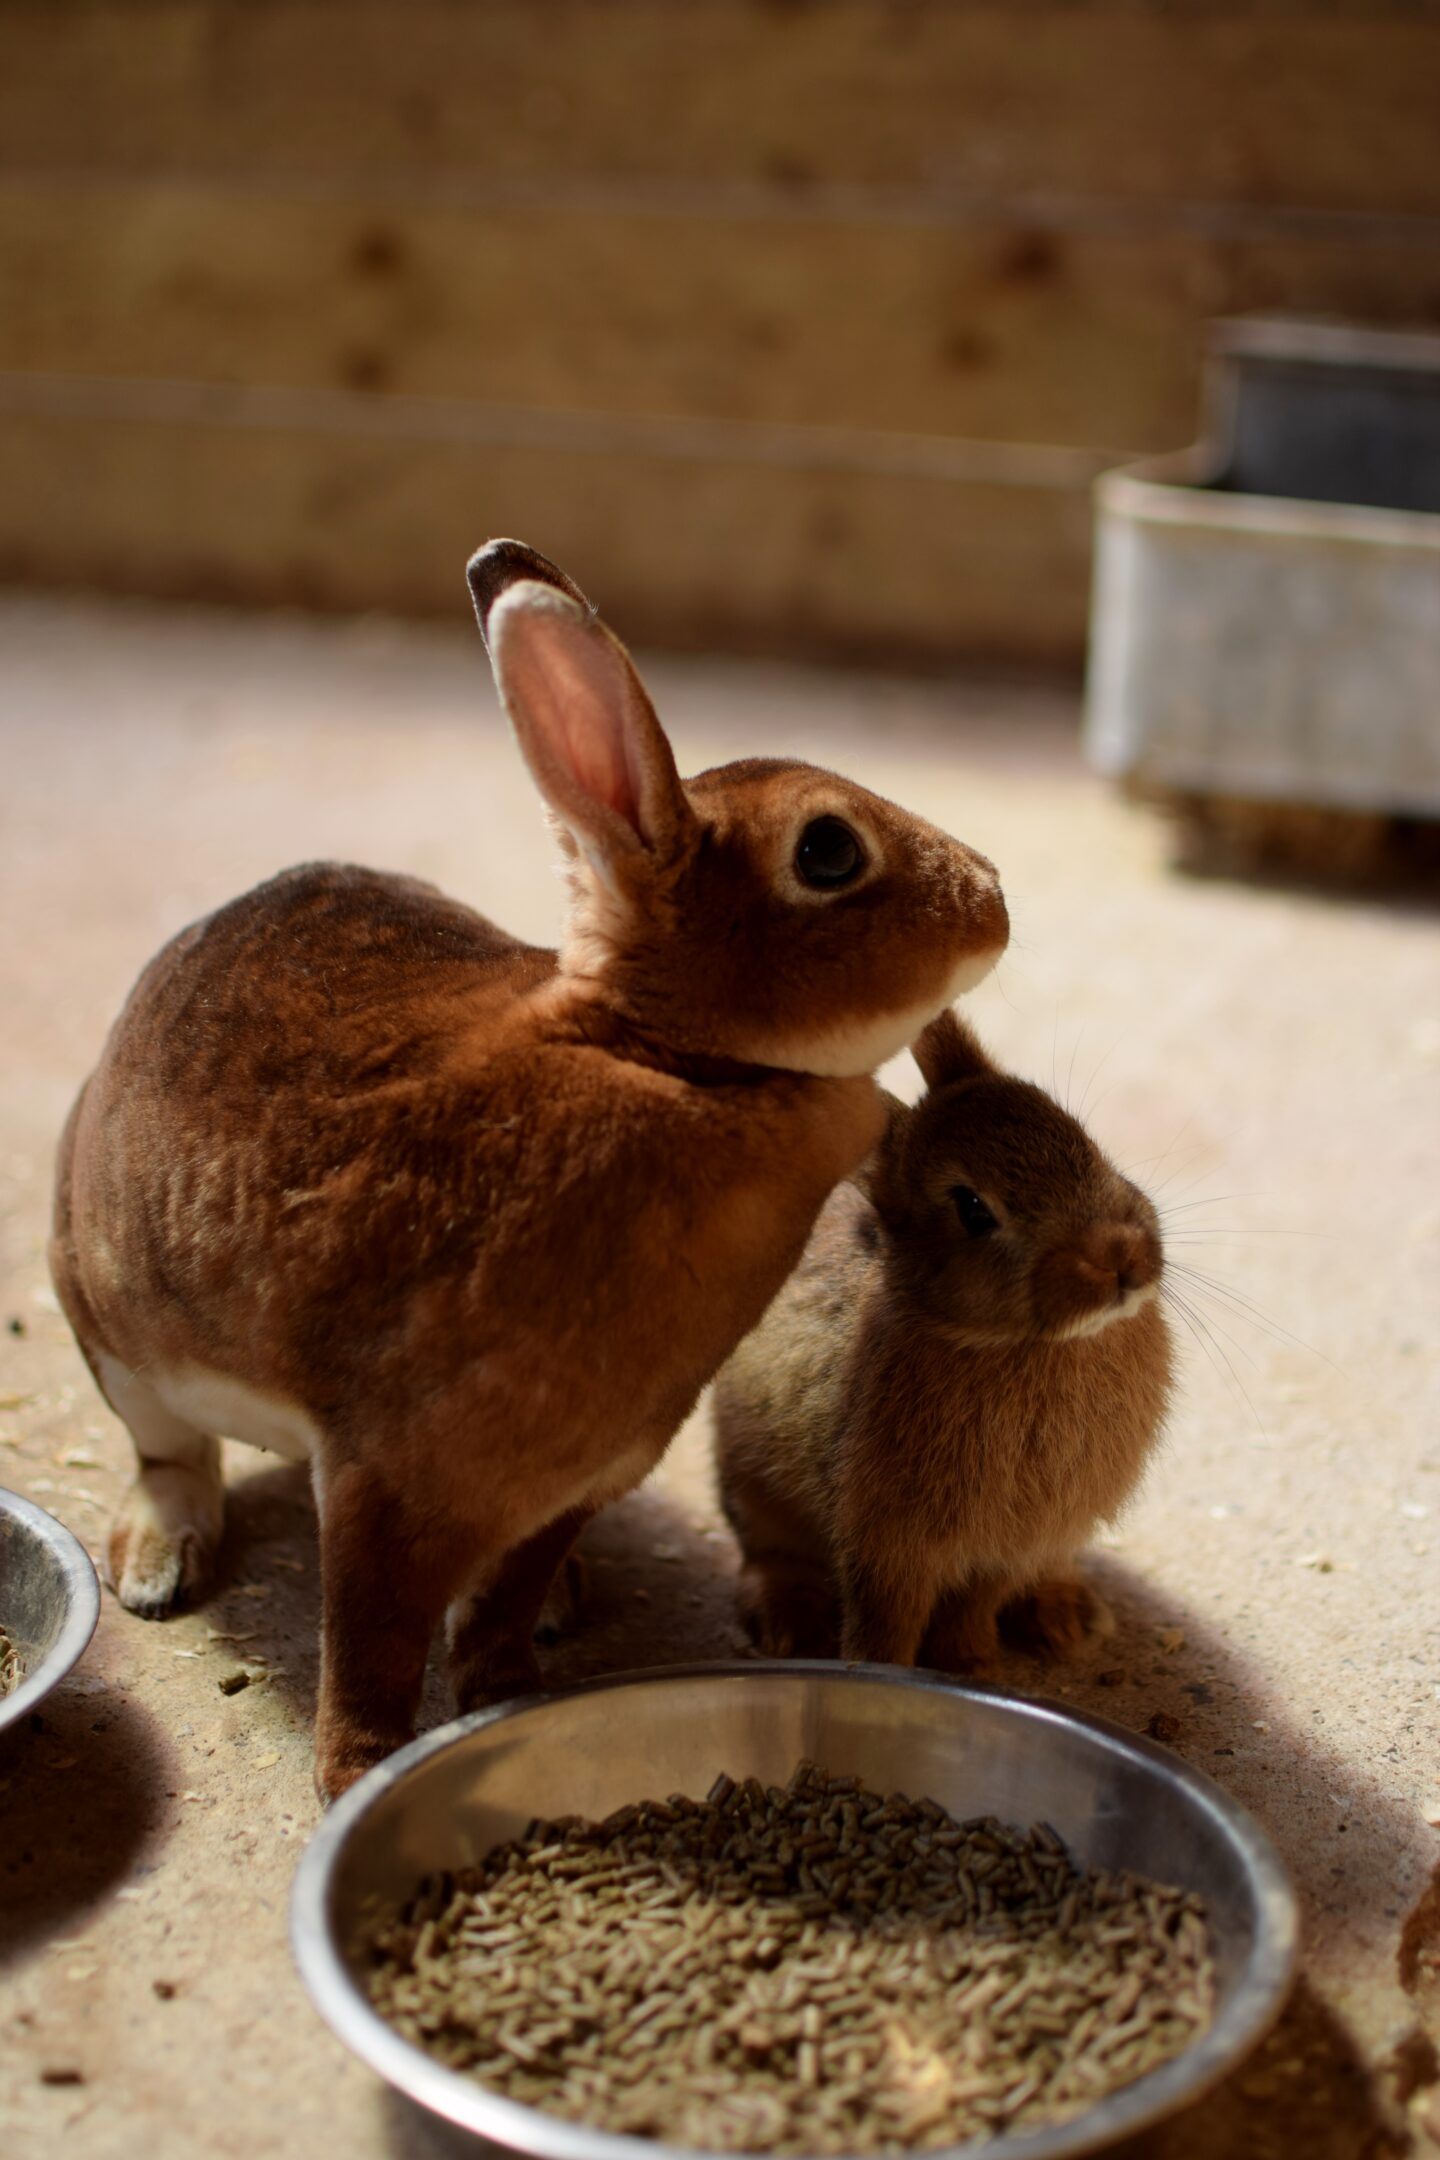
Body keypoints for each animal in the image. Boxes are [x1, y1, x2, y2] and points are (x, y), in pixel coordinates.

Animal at [49, 540, 1009, 1801]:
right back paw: (159, 1566)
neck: (664, 1060)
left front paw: (507, 1695)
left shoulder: (585, 1470)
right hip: (115, 1334)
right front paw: (360, 1777)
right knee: (170, 1451)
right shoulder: (392, 1487)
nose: (994, 896)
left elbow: (501, 1599)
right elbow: (372, 1649)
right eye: (828, 850)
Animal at [713, 1008, 1174, 1672]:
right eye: (973, 1209)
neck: (1012, 1343)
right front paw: (887, 1673)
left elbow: (972, 1605)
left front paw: (968, 1664)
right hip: (752, 1488)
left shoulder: (1010, 1543)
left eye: (1082, 1140)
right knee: (769, 1554)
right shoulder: (888, 1541)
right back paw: (790, 1626)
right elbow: (889, 1619)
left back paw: (1067, 1620)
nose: (1120, 1260)